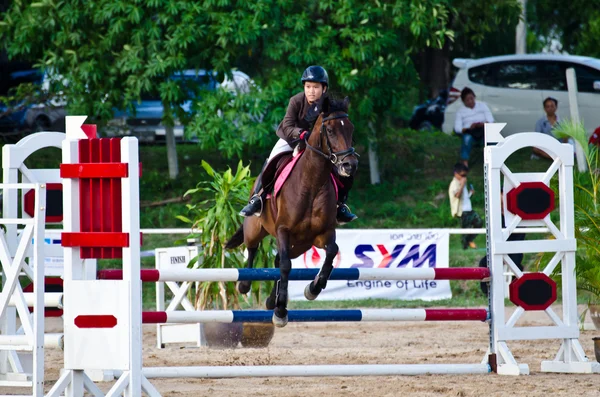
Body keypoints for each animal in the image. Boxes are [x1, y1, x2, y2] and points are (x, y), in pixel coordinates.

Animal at [224, 95, 356, 324]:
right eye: (330, 131)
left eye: (350, 129)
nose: (350, 165)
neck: (312, 183)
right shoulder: (283, 230)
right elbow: (286, 266)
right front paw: (280, 312)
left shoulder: (323, 233)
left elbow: (331, 252)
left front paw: (313, 289)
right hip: (256, 228)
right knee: (252, 249)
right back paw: (245, 285)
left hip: (299, 244)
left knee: (278, 259)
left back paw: (271, 300)